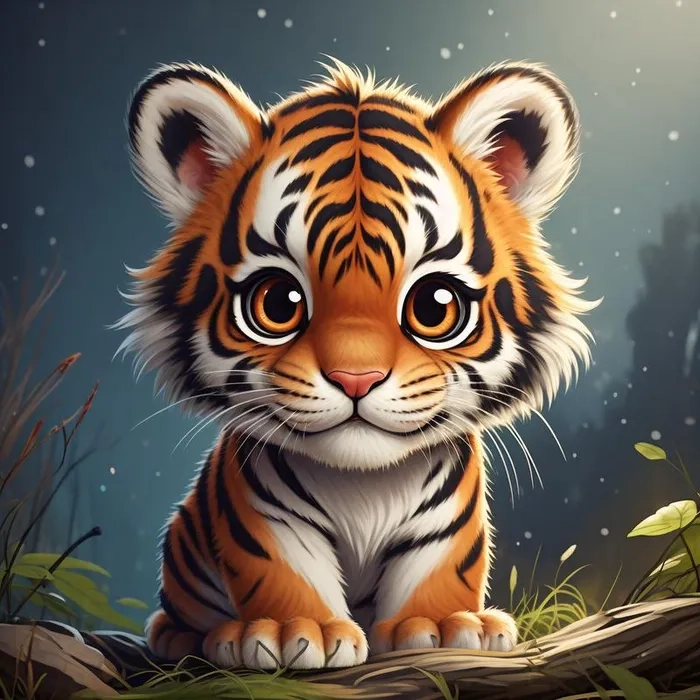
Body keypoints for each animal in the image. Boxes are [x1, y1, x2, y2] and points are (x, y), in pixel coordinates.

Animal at [115, 57, 597, 671]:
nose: (356, 379)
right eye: (278, 303)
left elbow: (438, 568)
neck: (365, 486)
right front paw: (292, 632)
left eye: (434, 306)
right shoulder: (265, 521)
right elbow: (283, 571)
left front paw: (442, 625)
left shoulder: (446, 524)